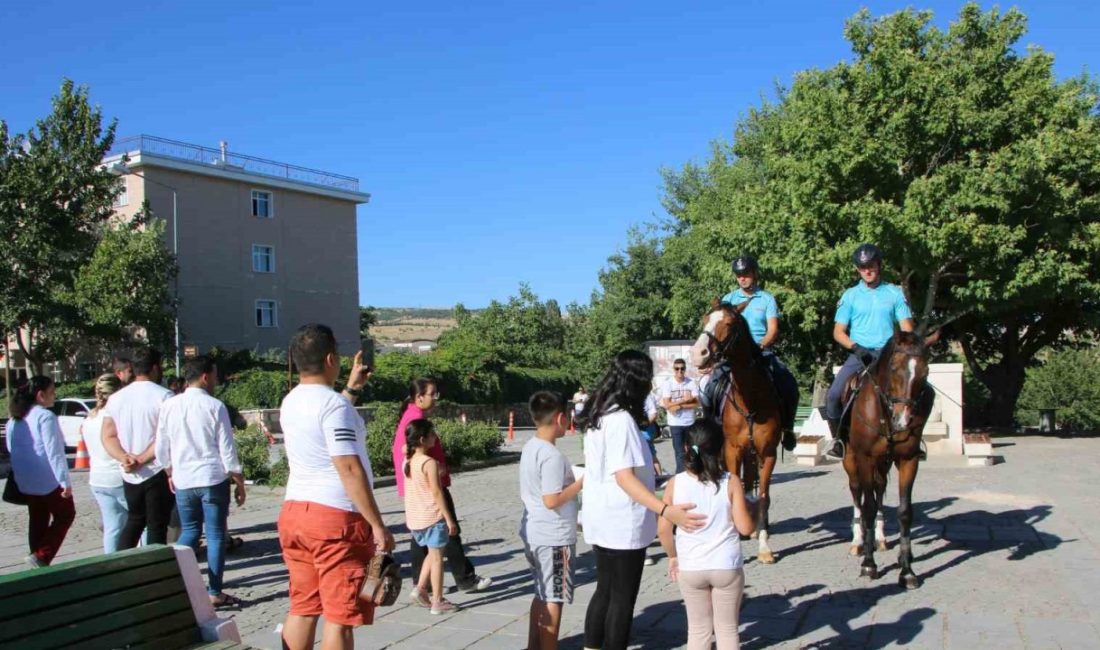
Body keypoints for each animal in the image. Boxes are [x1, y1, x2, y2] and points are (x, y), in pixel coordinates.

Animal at [686, 301, 783, 563]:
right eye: (705, 319)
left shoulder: (768, 453)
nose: (698, 354)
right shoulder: (732, 450)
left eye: (729, 324)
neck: (750, 400)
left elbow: (764, 497)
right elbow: (736, 487)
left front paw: (764, 547)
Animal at [844, 329, 932, 589]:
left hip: (883, 464)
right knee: (857, 493)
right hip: (851, 460)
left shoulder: (908, 460)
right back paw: (858, 542)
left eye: (925, 371)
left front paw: (907, 570)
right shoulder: (865, 458)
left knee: (880, 488)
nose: (903, 419)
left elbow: (904, 511)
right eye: (894, 368)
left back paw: (882, 540)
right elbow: (868, 508)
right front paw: (868, 564)